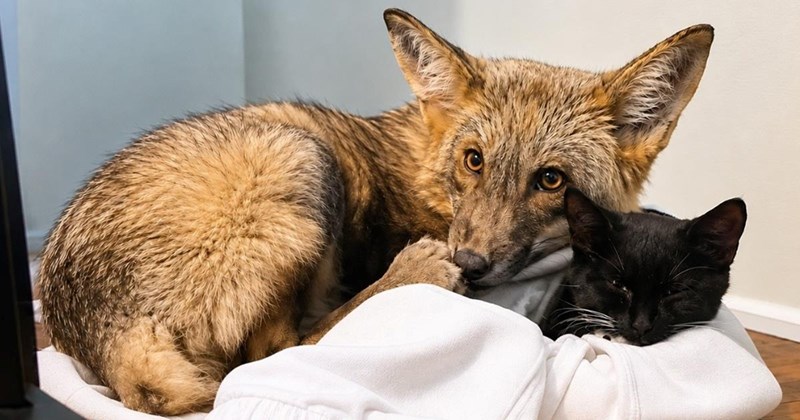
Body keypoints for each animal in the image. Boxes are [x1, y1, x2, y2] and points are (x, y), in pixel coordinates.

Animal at [38, 8, 714, 415]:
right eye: (473, 160)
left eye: (551, 180)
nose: (470, 262)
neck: (430, 189)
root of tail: (96, 325)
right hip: (300, 156)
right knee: (277, 355)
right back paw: (410, 274)